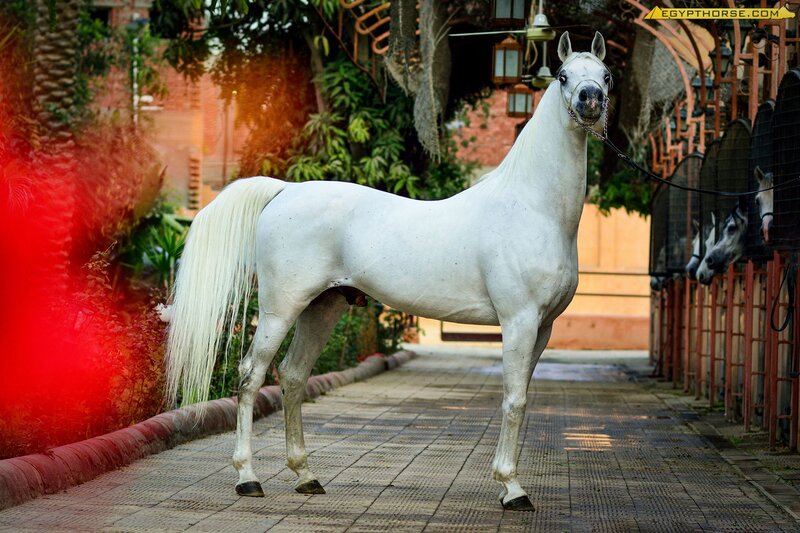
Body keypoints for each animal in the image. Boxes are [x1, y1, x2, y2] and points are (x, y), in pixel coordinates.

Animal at [165, 31, 611, 512]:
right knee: (251, 376)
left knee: (294, 376)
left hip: (322, 307)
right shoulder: (519, 322)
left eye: (605, 75)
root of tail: (284, 190)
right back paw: (248, 478)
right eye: (563, 75)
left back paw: (306, 476)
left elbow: (523, 398)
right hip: (280, 308)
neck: (532, 207)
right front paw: (512, 489)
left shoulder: (543, 328)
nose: (590, 100)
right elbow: (514, 400)